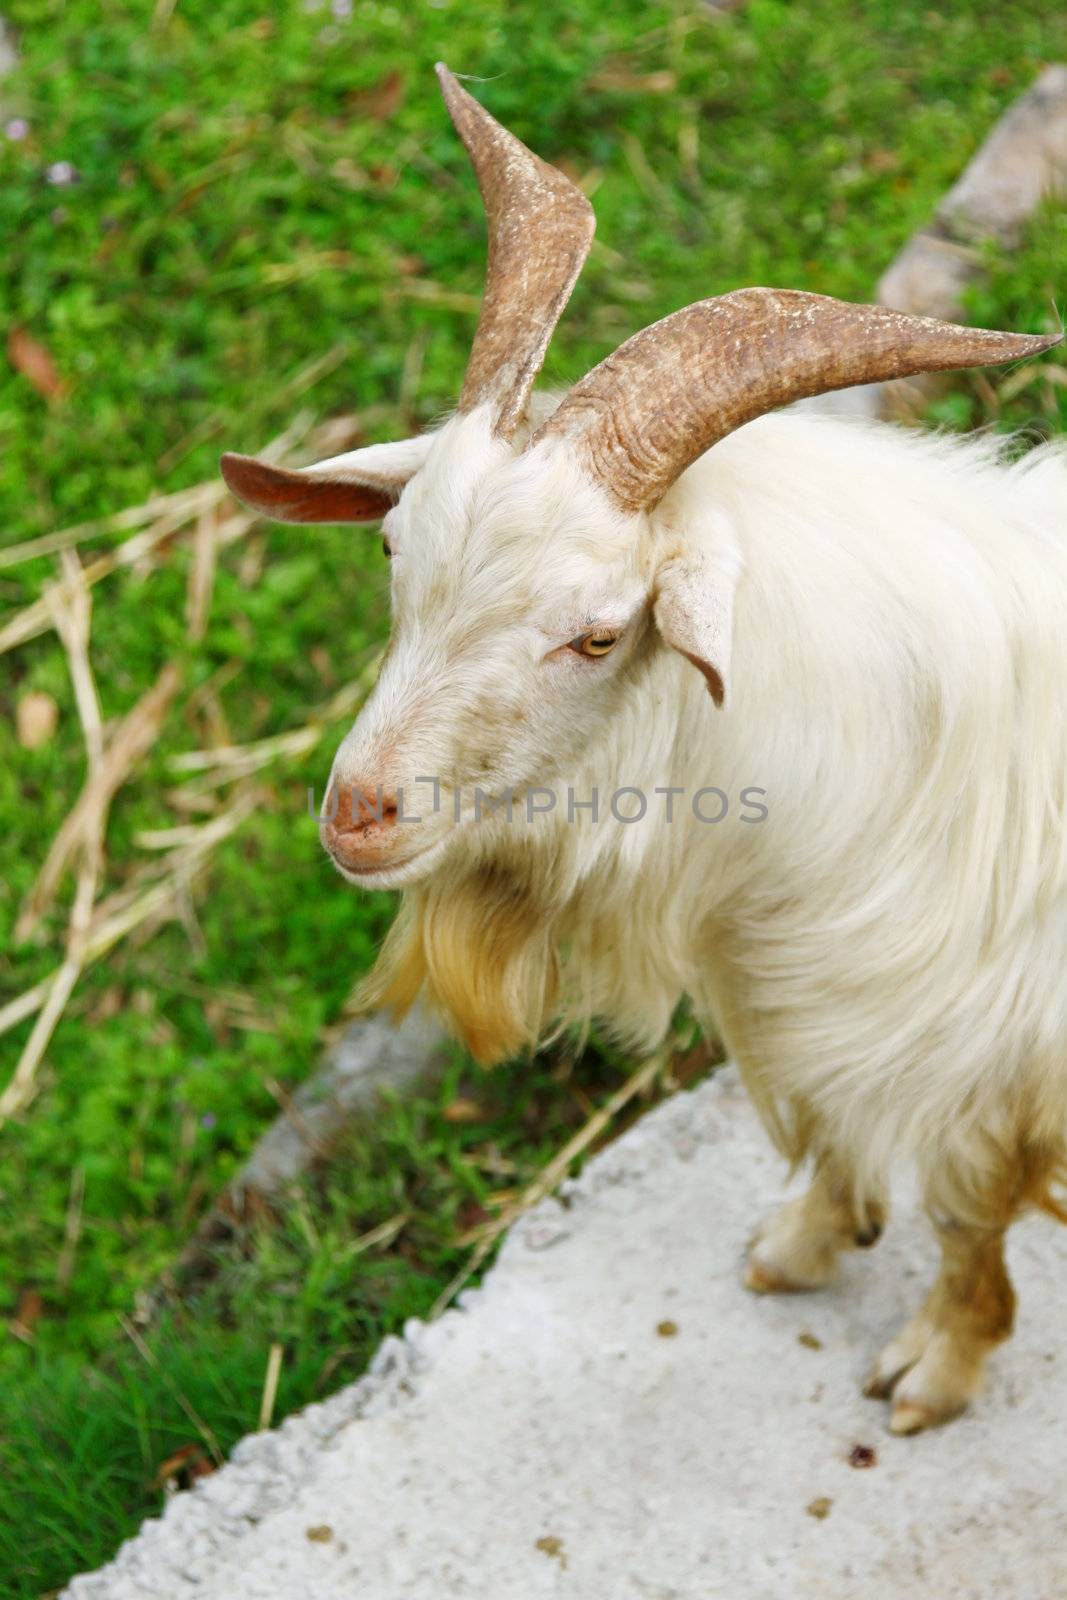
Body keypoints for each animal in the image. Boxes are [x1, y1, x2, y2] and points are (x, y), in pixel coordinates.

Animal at [220, 62, 1062, 1440]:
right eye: (395, 550)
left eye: (599, 633)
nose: (359, 813)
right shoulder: (800, 986)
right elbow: (826, 1120)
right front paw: (804, 1243)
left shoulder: (976, 1046)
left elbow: (961, 1207)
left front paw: (933, 1368)